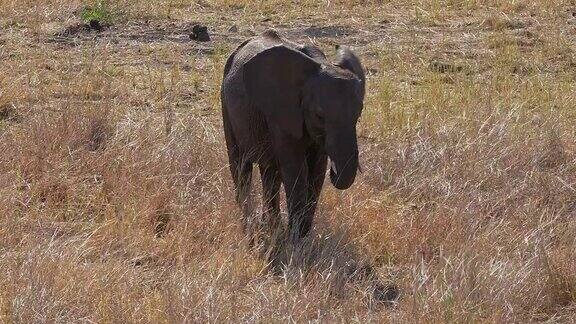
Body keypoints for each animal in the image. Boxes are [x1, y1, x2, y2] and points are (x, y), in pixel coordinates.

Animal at [220, 30, 364, 242]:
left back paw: (272, 229)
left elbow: (316, 172)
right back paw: (251, 232)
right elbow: (296, 170)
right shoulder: (281, 112)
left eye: (359, 113)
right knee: (240, 167)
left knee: (270, 173)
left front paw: (301, 238)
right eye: (319, 115)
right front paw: (294, 240)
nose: (335, 171)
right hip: (225, 103)